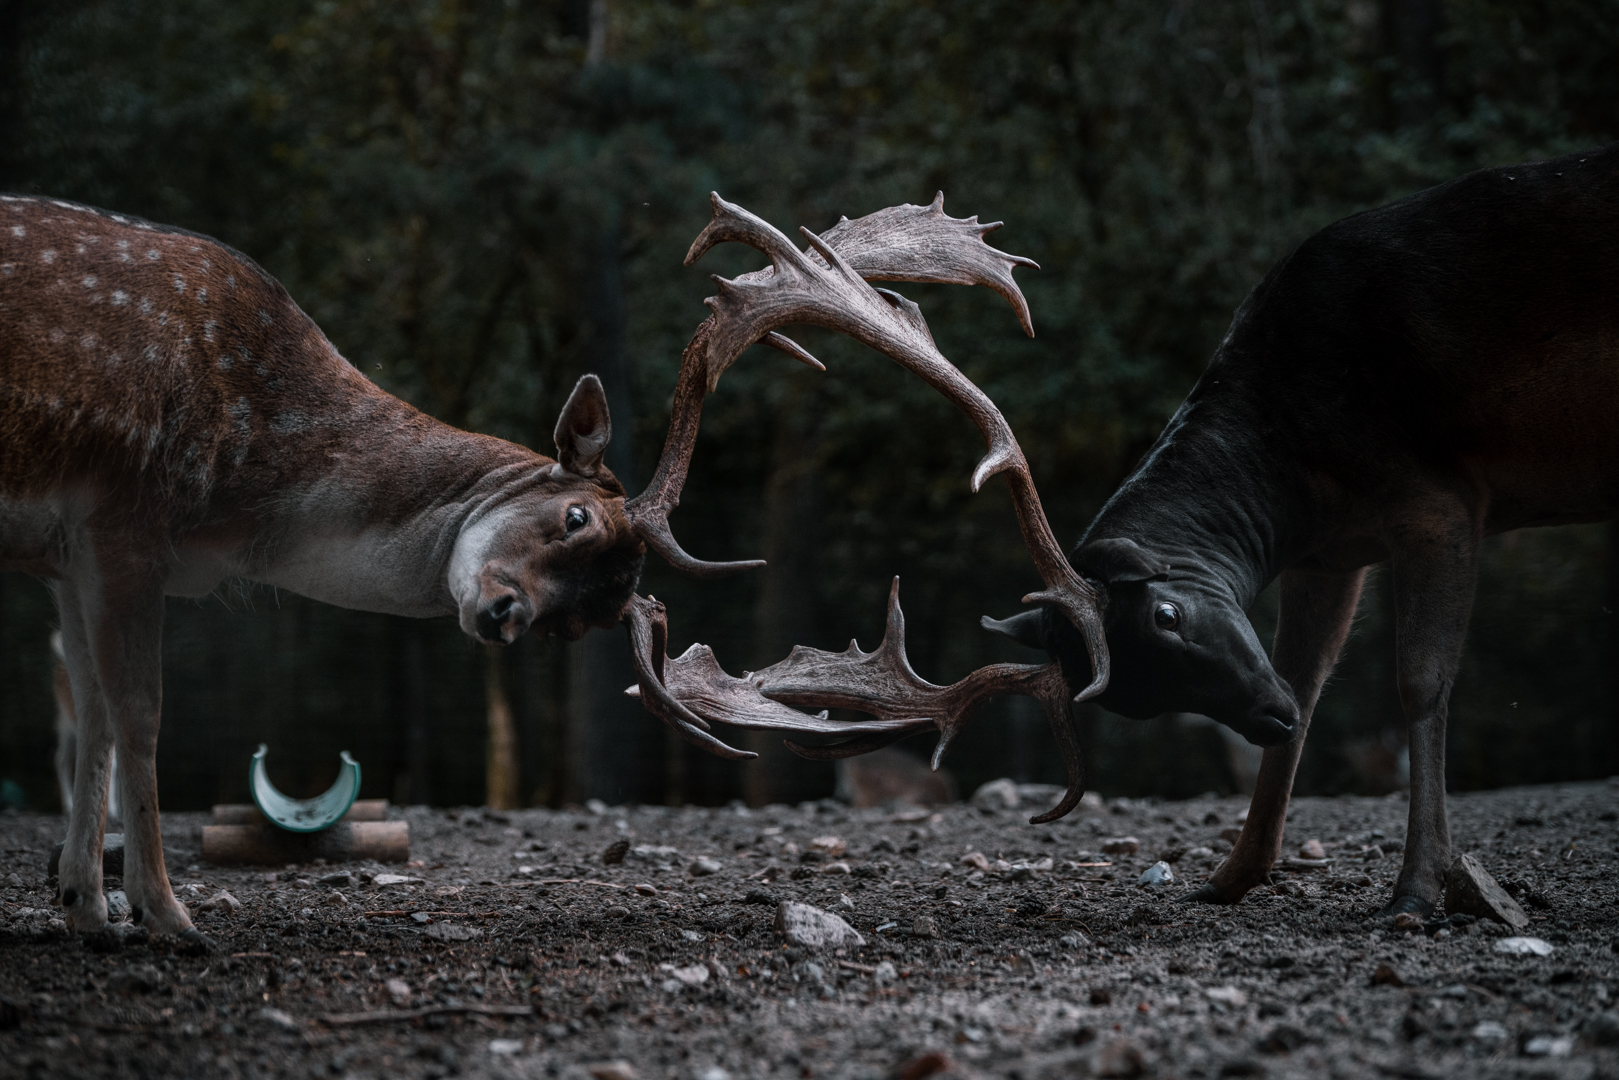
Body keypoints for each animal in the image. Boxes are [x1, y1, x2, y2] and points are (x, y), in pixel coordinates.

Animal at [644, 145, 1619, 920]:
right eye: (1133, 699)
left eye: (1165, 616)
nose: (1264, 716)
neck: (1297, 452)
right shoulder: (1332, 549)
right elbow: (1310, 677)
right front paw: (1233, 875)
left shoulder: (1438, 496)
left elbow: (1421, 684)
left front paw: (1418, 890)